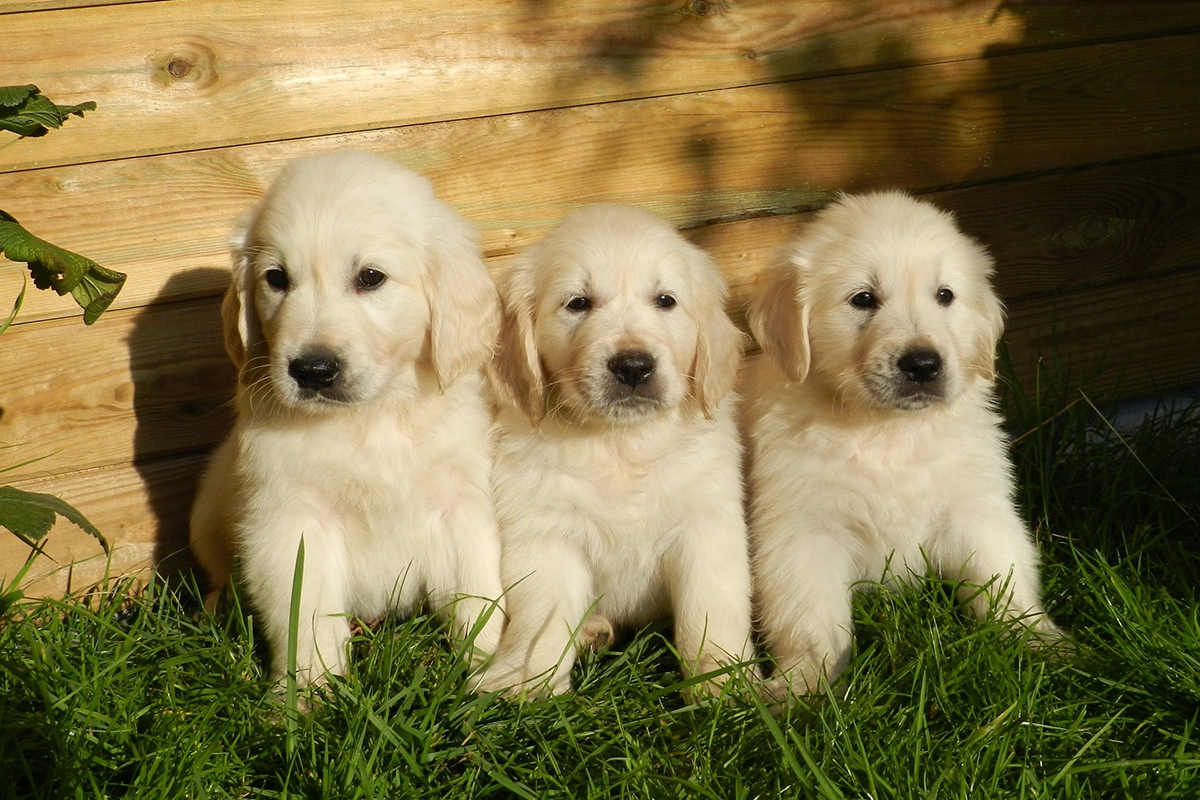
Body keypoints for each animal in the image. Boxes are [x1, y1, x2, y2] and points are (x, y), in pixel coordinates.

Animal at [188, 149, 506, 690]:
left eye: (371, 277)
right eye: (276, 278)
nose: (313, 370)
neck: (370, 419)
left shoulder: (461, 503)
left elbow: (479, 594)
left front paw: (496, 677)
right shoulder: (291, 521)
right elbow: (305, 613)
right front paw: (305, 694)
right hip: (208, 516)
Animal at [475, 206, 748, 700]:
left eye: (665, 301)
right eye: (578, 303)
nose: (634, 366)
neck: (620, 443)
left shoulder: (707, 522)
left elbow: (711, 607)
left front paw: (725, 682)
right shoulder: (545, 532)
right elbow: (543, 616)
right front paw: (526, 681)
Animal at [739, 190, 1070, 695]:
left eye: (944, 295)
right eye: (863, 299)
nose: (923, 364)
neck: (887, 431)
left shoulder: (976, 509)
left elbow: (1004, 579)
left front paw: (1041, 640)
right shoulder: (802, 532)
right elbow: (812, 618)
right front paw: (804, 683)